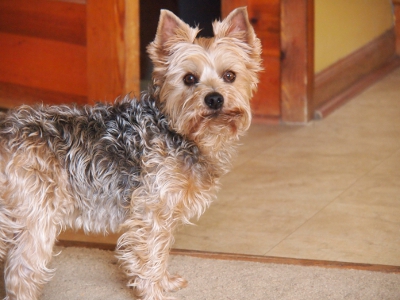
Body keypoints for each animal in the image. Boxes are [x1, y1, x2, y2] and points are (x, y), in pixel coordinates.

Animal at [0, 7, 262, 300]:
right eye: (189, 79)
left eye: (230, 76)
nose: (214, 98)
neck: (178, 131)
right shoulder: (152, 211)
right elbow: (151, 254)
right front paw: (155, 292)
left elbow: (162, 249)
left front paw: (165, 283)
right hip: (36, 218)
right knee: (21, 273)